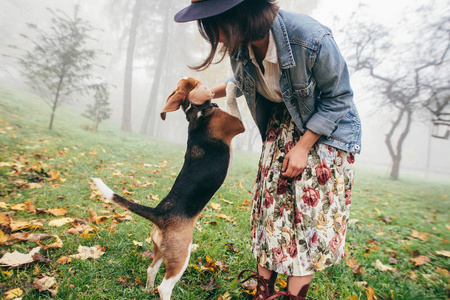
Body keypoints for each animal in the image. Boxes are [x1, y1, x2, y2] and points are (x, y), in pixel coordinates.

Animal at [92, 78, 244, 300]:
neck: (196, 111)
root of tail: (159, 213)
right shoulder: (237, 125)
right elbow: (233, 102)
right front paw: (233, 87)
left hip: (160, 250)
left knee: (151, 270)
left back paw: (147, 290)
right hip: (181, 255)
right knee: (164, 287)